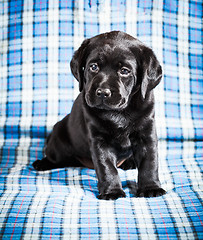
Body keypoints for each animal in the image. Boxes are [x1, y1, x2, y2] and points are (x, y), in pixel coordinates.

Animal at [33, 31, 166, 201]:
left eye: (124, 71)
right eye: (93, 67)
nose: (103, 92)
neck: (119, 113)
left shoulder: (146, 134)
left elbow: (149, 162)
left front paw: (150, 188)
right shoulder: (99, 140)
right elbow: (107, 167)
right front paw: (112, 191)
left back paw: (129, 162)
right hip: (59, 144)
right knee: (54, 156)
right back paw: (42, 163)